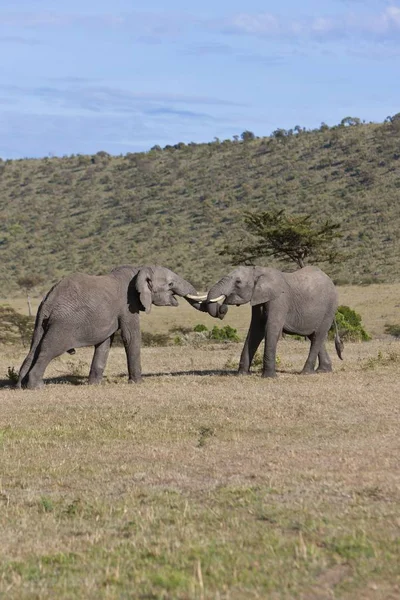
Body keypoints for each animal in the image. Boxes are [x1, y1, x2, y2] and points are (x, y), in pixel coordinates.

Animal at [17, 266, 216, 390]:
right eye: (170, 284)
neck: (138, 270)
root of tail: (47, 301)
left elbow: (105, 342)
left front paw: (94, 385)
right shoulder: (128, 305)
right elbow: (130, 337)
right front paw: (137, 383)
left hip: (41, 322)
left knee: (34, 348)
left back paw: (19, 385)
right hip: (63, 324)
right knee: (48, 349)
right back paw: (36, 386)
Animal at [189, 264, 342, 378]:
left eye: (238, 282)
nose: (223, 308)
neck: (257, 271)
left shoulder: (279, 300)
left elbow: (271, 330)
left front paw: (269, 377)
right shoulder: (258, 299)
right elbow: (255, 331)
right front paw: (242, 374)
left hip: (329, 308)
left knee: (318, 336)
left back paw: (306, 372)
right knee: (314, 336)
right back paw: (323, 370)